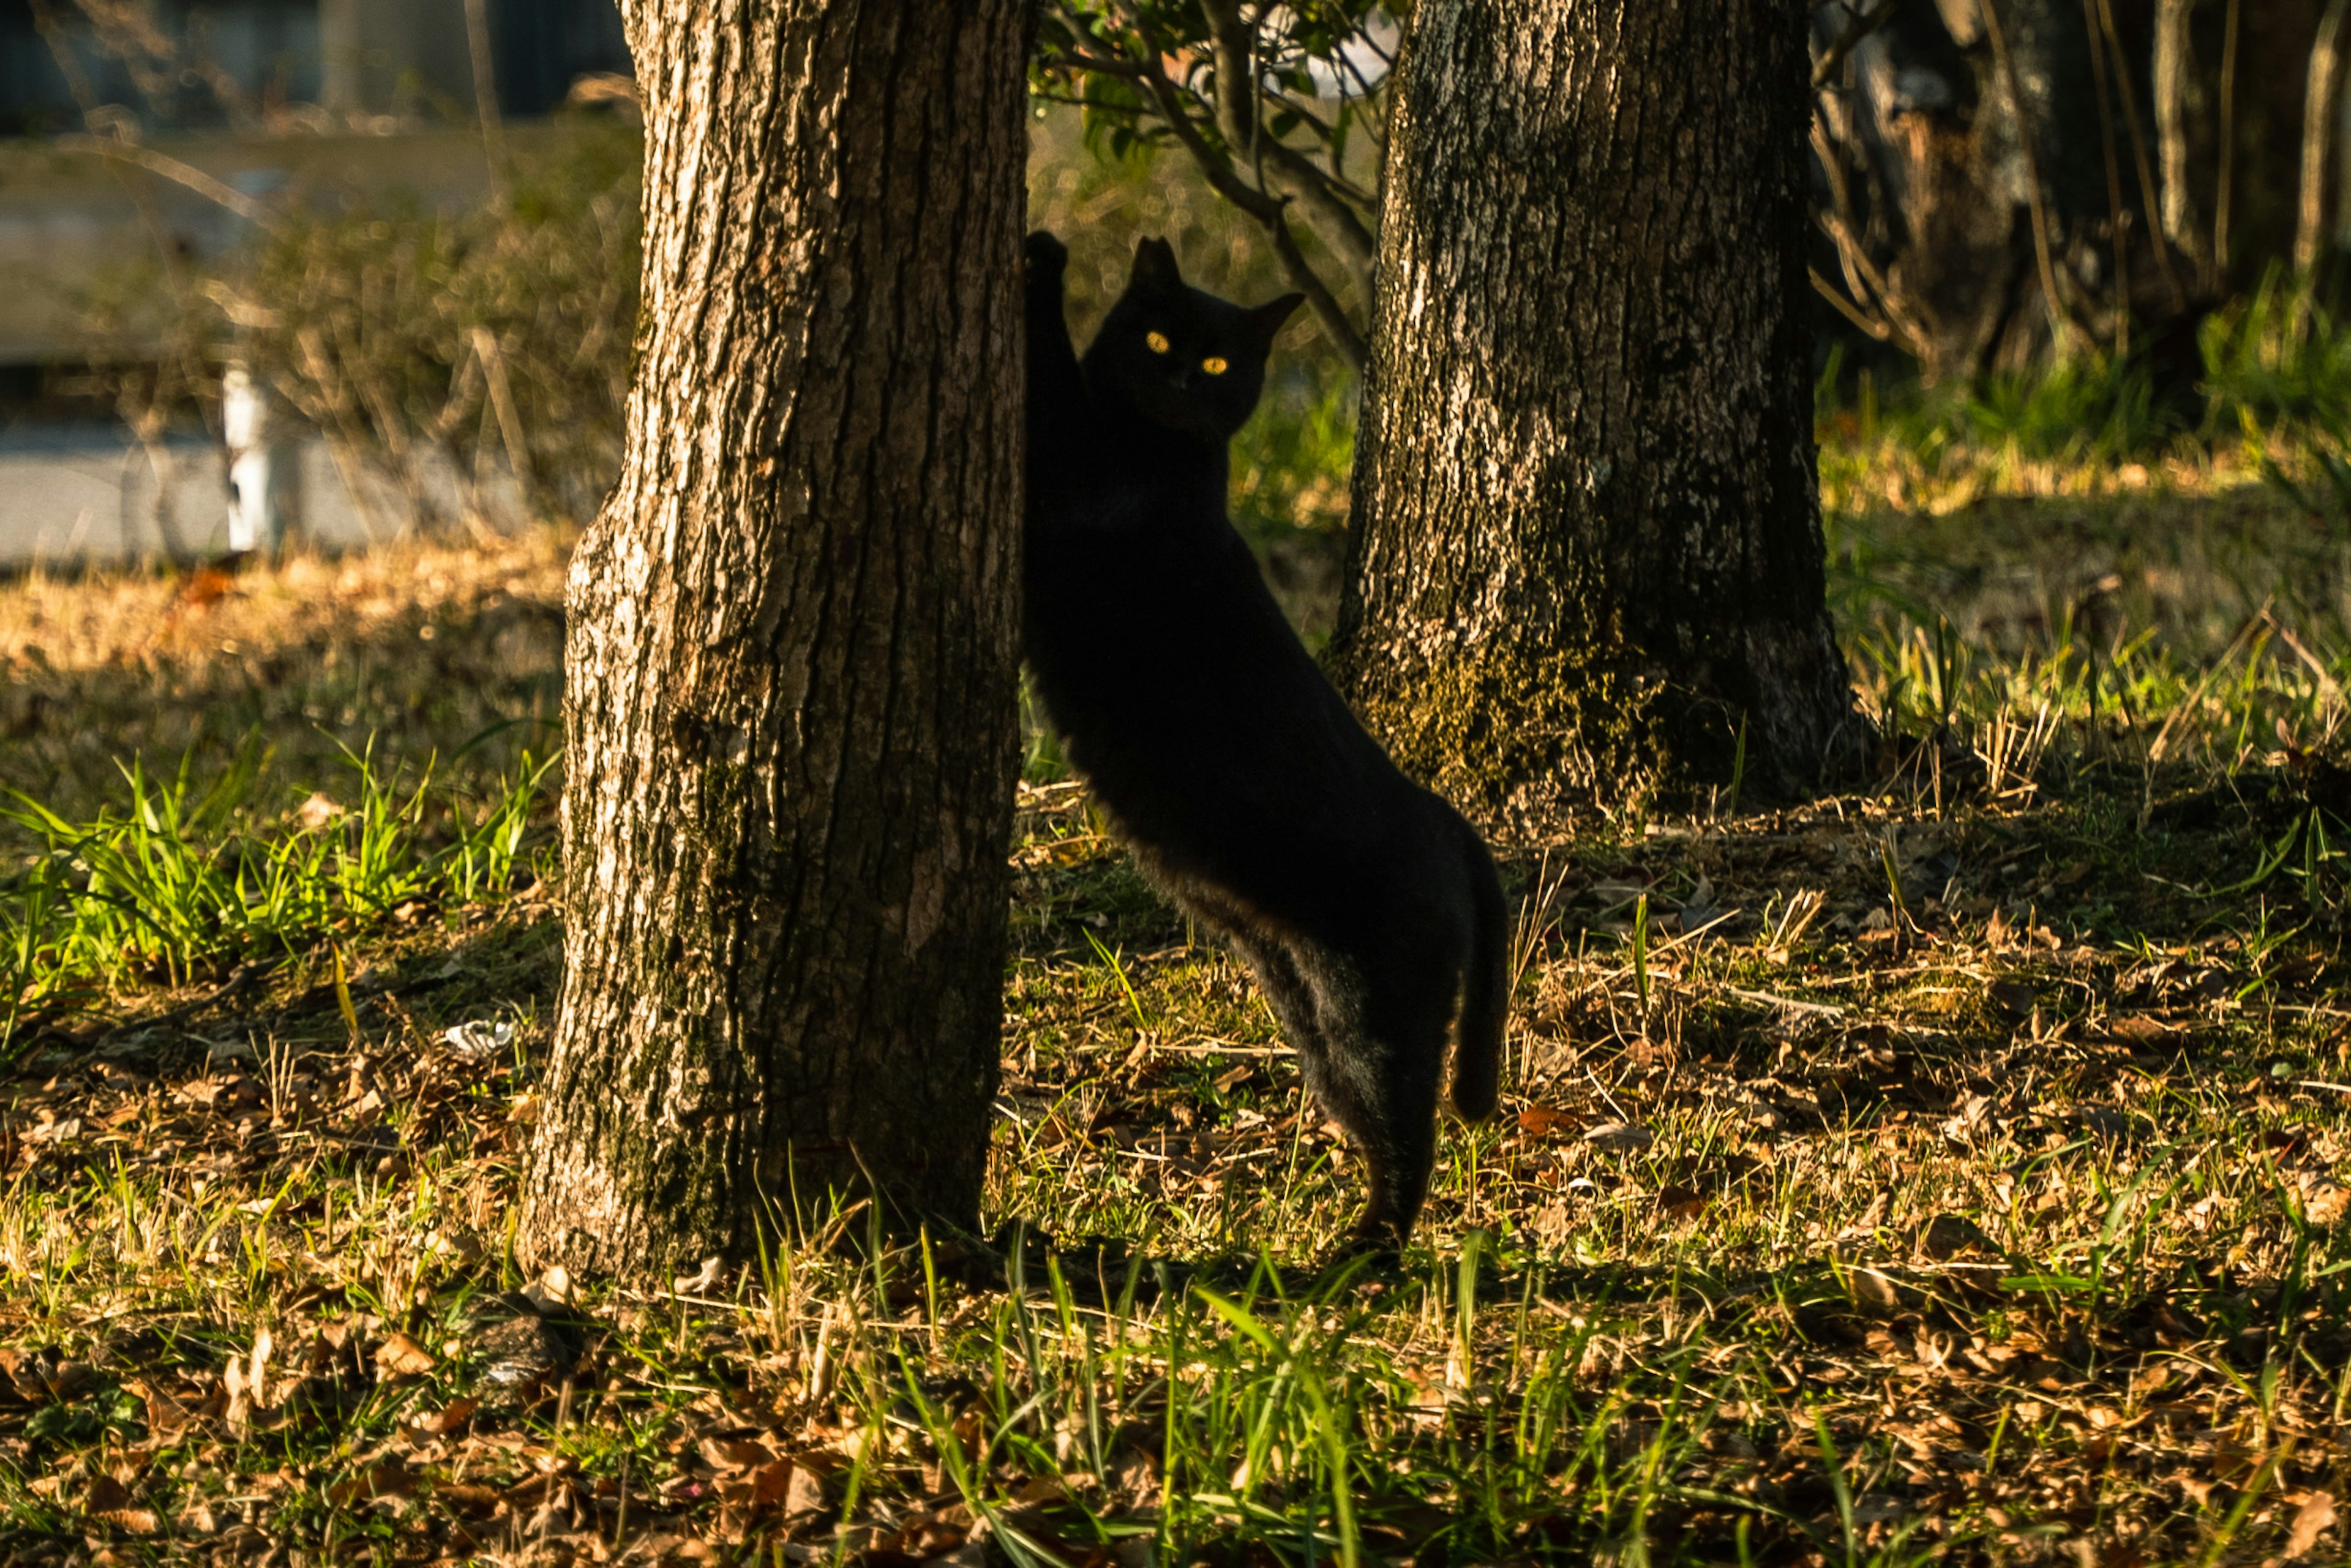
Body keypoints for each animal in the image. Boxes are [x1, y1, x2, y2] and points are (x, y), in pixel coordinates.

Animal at [1025, 230, 1504, 1250]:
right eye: (1157, 337)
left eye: (1217, 364)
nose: (1179, 378)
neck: (1157, 448)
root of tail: (1445, 818)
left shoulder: (1066, 471)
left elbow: (1044, 366)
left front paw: (1039, 261)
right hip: (1304, 1011)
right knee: (1372, 1120)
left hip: (1373, 1006)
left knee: (1411, 1129)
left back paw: (1361, 1254)